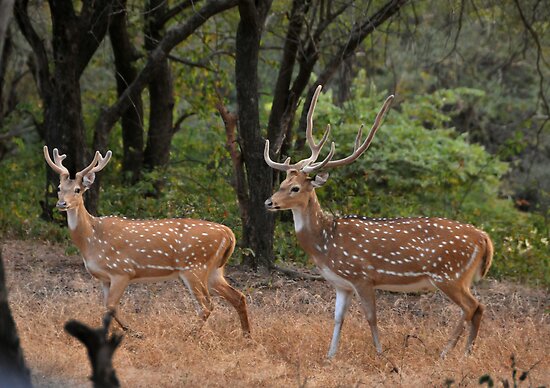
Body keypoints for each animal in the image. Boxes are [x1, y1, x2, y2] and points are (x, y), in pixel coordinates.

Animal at [44, 147, 251, 334]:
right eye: (59, 188)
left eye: (78, 190)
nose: (61, 203)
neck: (91, 241)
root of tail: (229, 234)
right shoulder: (104, 277)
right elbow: (106, 307)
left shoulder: (122, 270)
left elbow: (111, 306)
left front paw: (131, 331)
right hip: (214, 270)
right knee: (238, 297)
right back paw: (246, 335)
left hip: (194, 266)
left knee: (207, 305)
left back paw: (189, 334)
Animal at [266, 85, 494, 358]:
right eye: (282, 183)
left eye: (296, 188)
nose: (268, 202)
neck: (326, 243)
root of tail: (484, 238)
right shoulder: (341, 284)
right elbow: (338, 318)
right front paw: (330, 356)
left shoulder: (362, 276)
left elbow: (371, 317)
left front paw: (380, 353)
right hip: (461, 277)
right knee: (478, 308)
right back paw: (466, 352)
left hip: (449, 274)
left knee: (471, 307)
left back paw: (446, 352)